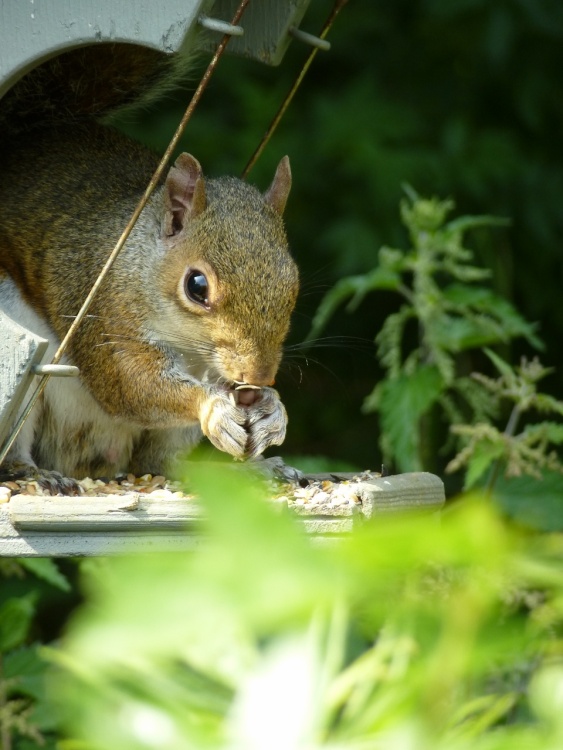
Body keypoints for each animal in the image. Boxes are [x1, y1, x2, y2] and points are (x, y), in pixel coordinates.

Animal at [0, 44, 299, 492]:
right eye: (196, 286)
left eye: (293, 282)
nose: (259, 375)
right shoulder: (105, 312)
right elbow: (131, 384)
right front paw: (213, 406)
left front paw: (273, 411)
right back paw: (35, 473)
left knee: (161, 462)